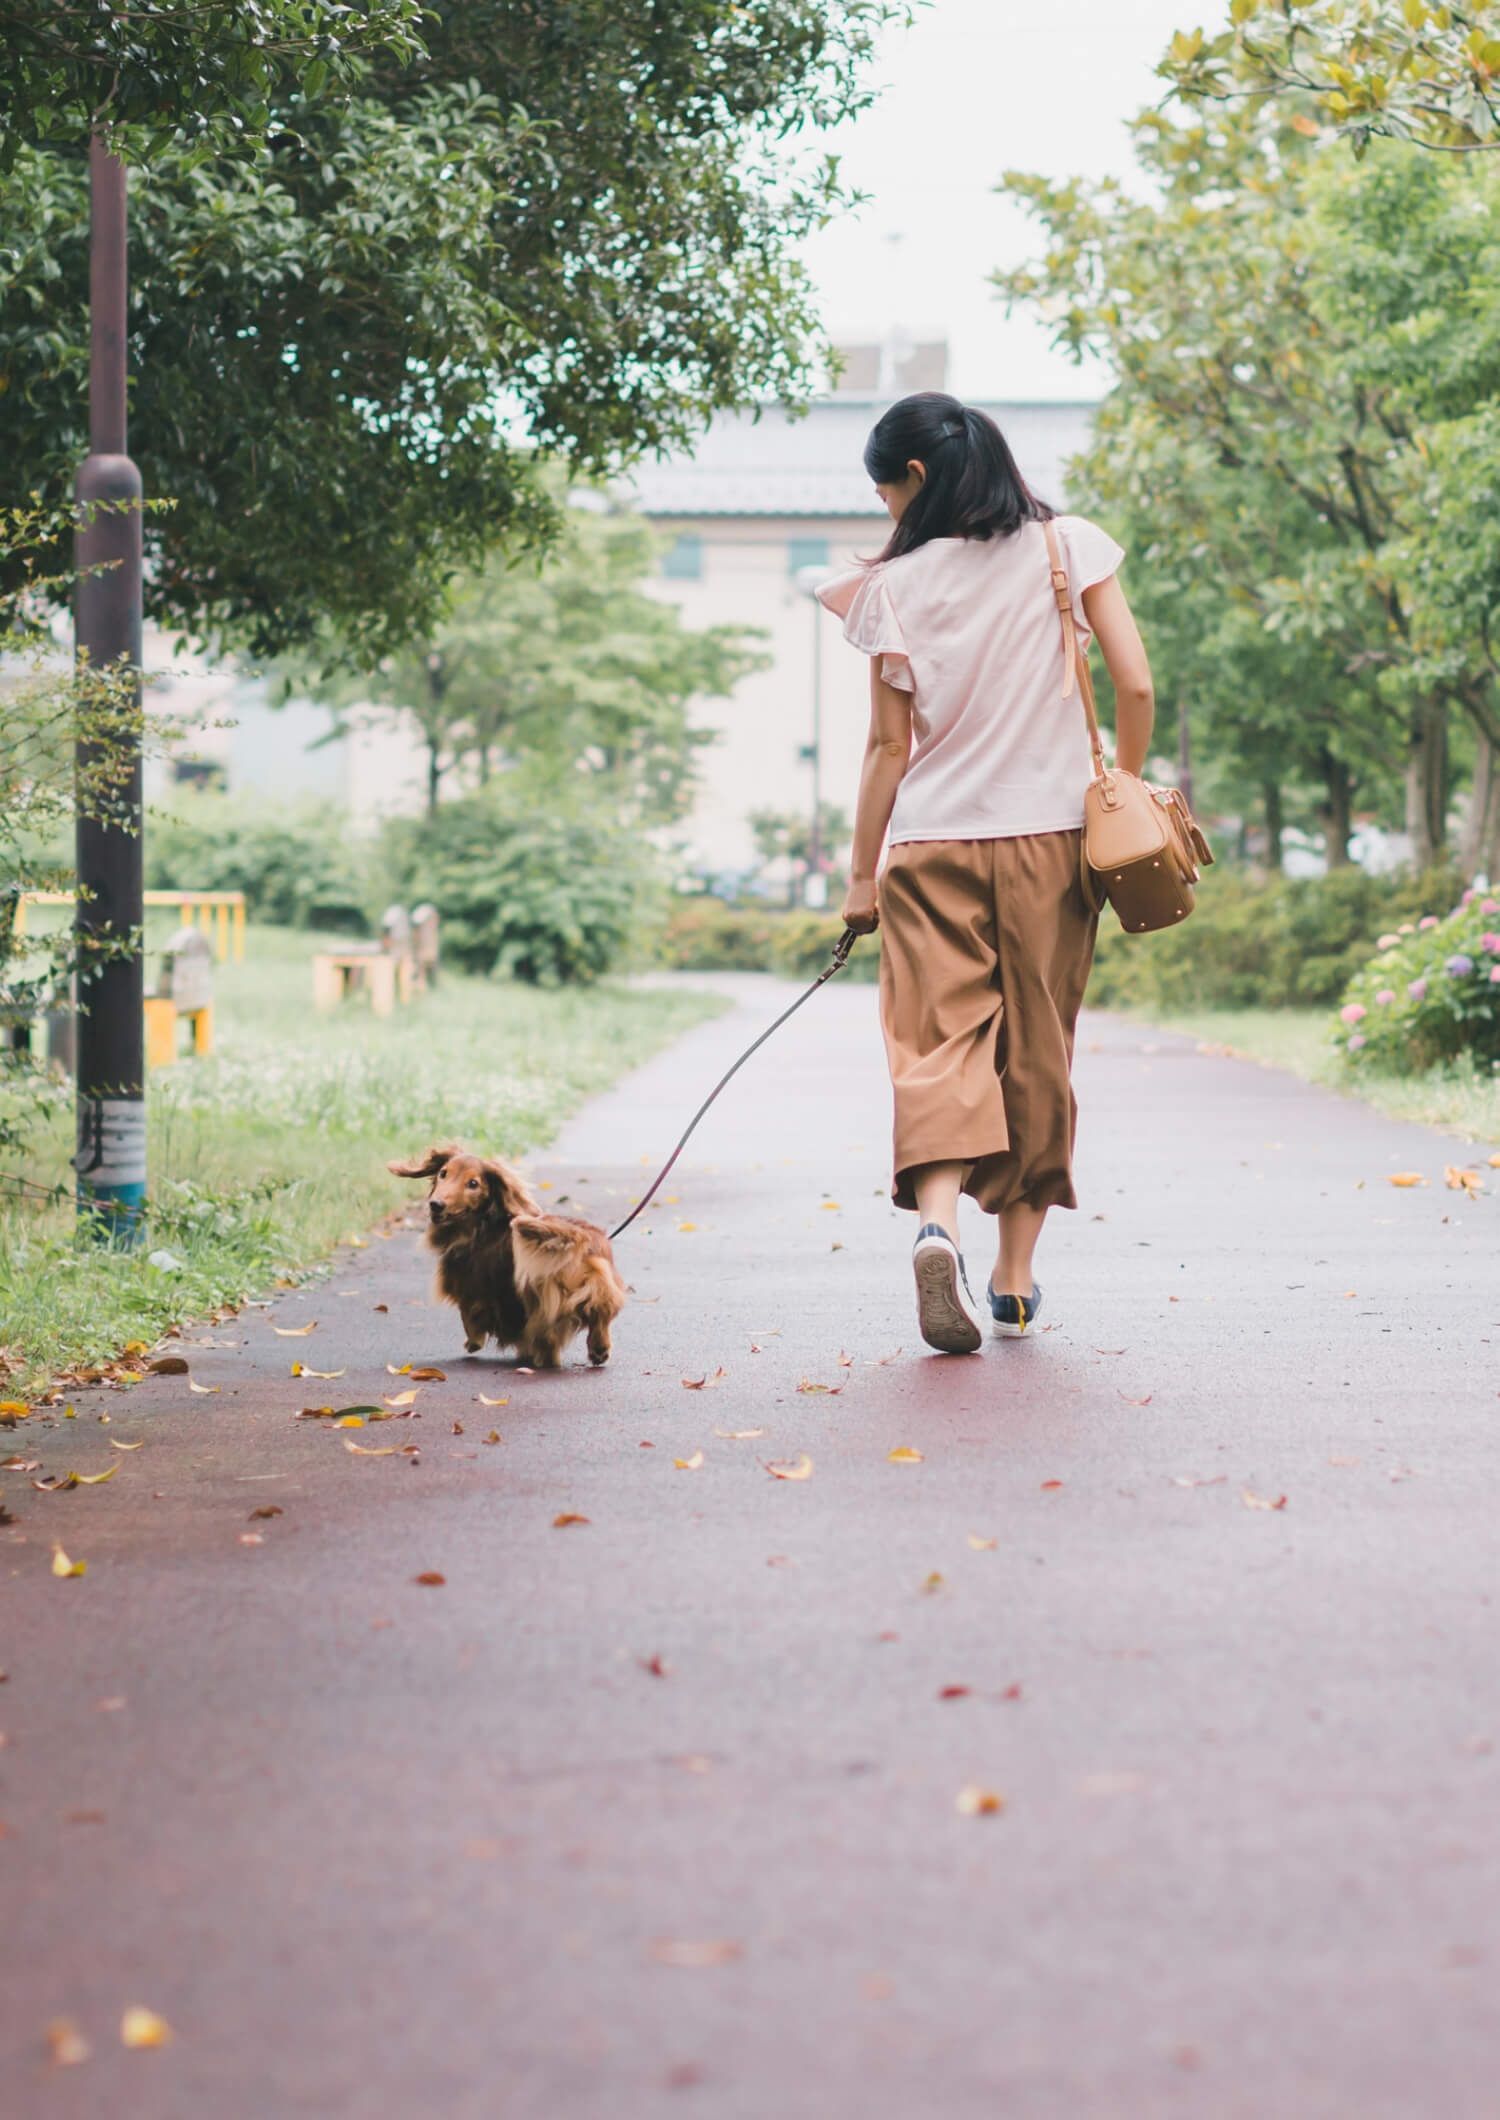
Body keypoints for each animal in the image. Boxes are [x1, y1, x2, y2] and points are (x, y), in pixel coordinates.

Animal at [387, 1144, 627, 1373]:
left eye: (473, 1183)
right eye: (443, 1173)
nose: (435, 1204)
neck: (482, 1226)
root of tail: (577, 1236)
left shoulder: (473, 1290)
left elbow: (469, 1317)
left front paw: (473, 1342)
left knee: (546, 1339)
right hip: (601, 1283)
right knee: (601, 1314)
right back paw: (599, 1349)